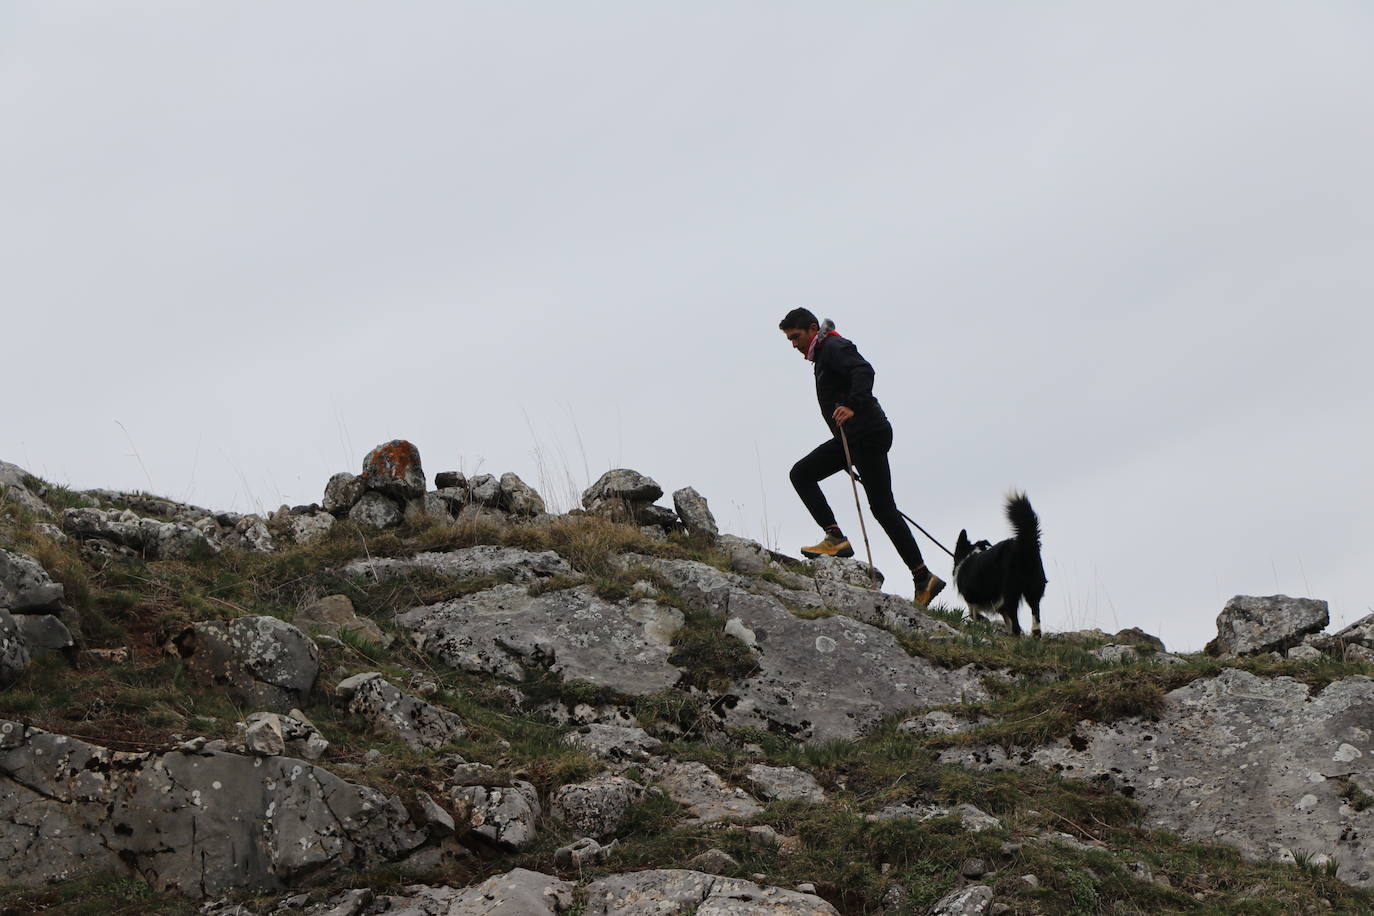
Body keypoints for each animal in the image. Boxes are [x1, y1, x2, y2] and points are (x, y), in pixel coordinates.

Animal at [950, 494, 1044, 637]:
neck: (968, 556)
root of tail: (1023, 545)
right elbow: (1006, 620)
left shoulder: (972, 600)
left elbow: (974, 615)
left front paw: (981, 622)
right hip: (1034, 586)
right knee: (1035, 611)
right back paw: (1034, 633)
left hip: (1011, 590)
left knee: (1016, 622)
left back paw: (1015, 635)